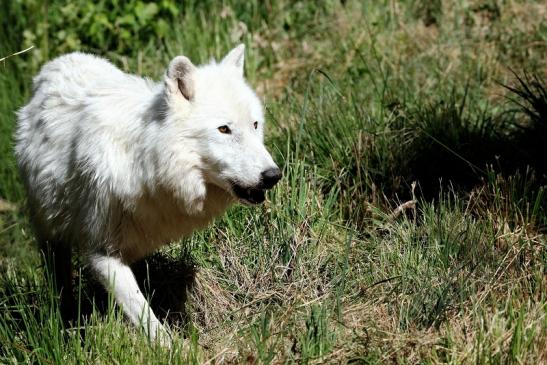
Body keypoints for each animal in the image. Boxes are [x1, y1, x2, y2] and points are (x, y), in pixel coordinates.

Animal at [16, 44, 282, 342]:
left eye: (255, 125)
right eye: (224, 129)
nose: (273, 175)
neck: (146, 164)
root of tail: (55, 64)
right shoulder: (103, 253)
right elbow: (145, 317)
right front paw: (176, 348)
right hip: (49, 234)